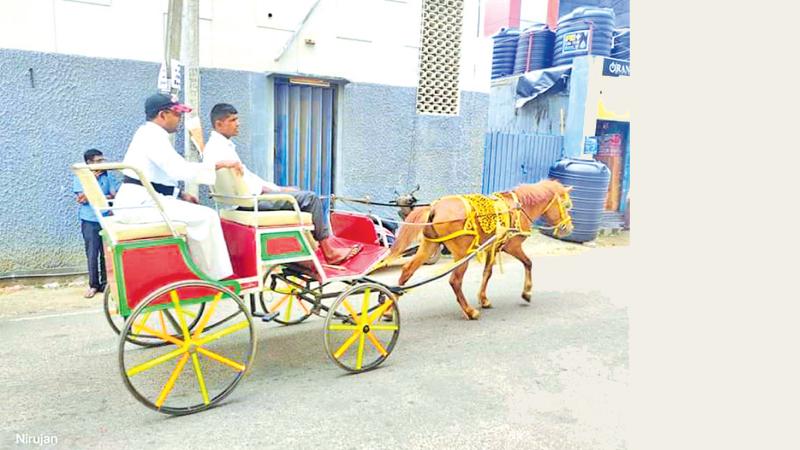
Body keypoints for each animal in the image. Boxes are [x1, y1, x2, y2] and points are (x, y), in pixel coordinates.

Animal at [390, 179, 572, 320]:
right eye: (566, 205)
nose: (569, 228)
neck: (519, 207)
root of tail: (435, 207)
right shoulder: (513, 246)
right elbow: (528, 263)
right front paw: (527, 292)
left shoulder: (492, 248)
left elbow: (487, 272)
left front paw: (484, 299)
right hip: (462, 254)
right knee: (455, 281)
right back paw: (470, 311)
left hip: (429, 246)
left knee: (407, 271)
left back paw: (390, 309)